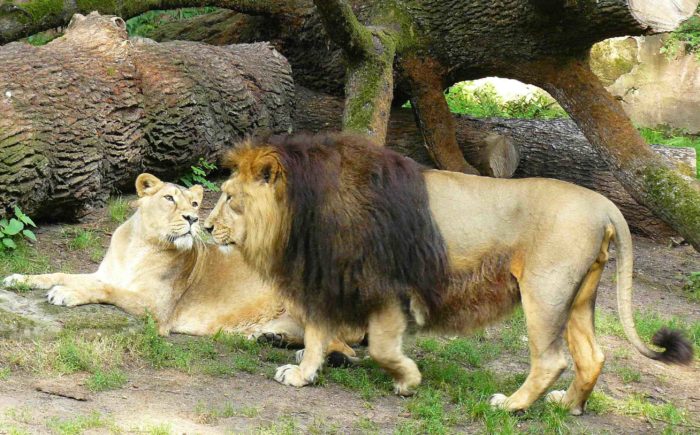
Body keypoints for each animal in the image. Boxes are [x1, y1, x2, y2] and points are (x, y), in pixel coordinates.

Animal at [1, 174, 360, 362]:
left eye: (195, 203)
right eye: (170, 199)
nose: (192, 218)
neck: (139, 245)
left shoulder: (157, 309)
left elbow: (105, 289)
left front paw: (65, 294)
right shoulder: (104, 272)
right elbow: (61, 273)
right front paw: (18, 279)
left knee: (343, 346)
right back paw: (271, 338)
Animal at [204, 133, 696, 416]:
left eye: (229, 198)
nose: (206, 227)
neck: (299, 212)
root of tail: (603, 203)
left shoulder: (383, 286)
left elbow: (380, 347)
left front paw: (407, 381)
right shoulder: (332, 282)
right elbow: (316, 335)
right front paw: (303, 376)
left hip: (544, 291)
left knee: (552, 359)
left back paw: (511, 406)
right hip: (578, 296)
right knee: (592, 356)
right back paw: (569, 406)